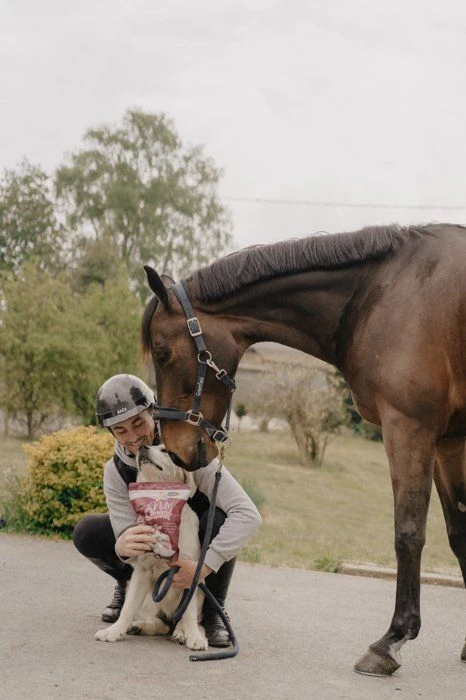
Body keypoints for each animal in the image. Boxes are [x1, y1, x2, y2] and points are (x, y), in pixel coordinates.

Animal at [141, 223, 466, 676]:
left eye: (162, 352)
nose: (173, 448)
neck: (385, 292)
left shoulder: (410, 429)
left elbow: (409, 533)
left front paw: (392, 640)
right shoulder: (450, 442)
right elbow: (459, 535)